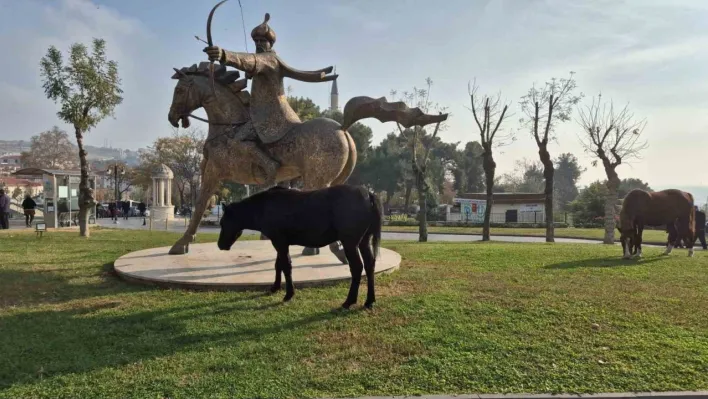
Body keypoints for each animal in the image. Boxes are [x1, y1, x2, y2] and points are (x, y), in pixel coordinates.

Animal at [217, 186, 382, 310]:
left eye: (223, 222)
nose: (220, 245)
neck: (264, 206)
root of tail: (368, 194)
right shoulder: (280, 242)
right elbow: (279, 265)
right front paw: (275, 287)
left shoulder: (279, 242)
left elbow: (286, 266)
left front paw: (289, 294)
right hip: (364, 241)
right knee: (370, 265)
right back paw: (369, 301)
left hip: (350, 243)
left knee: (357, 267)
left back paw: (349, 301)